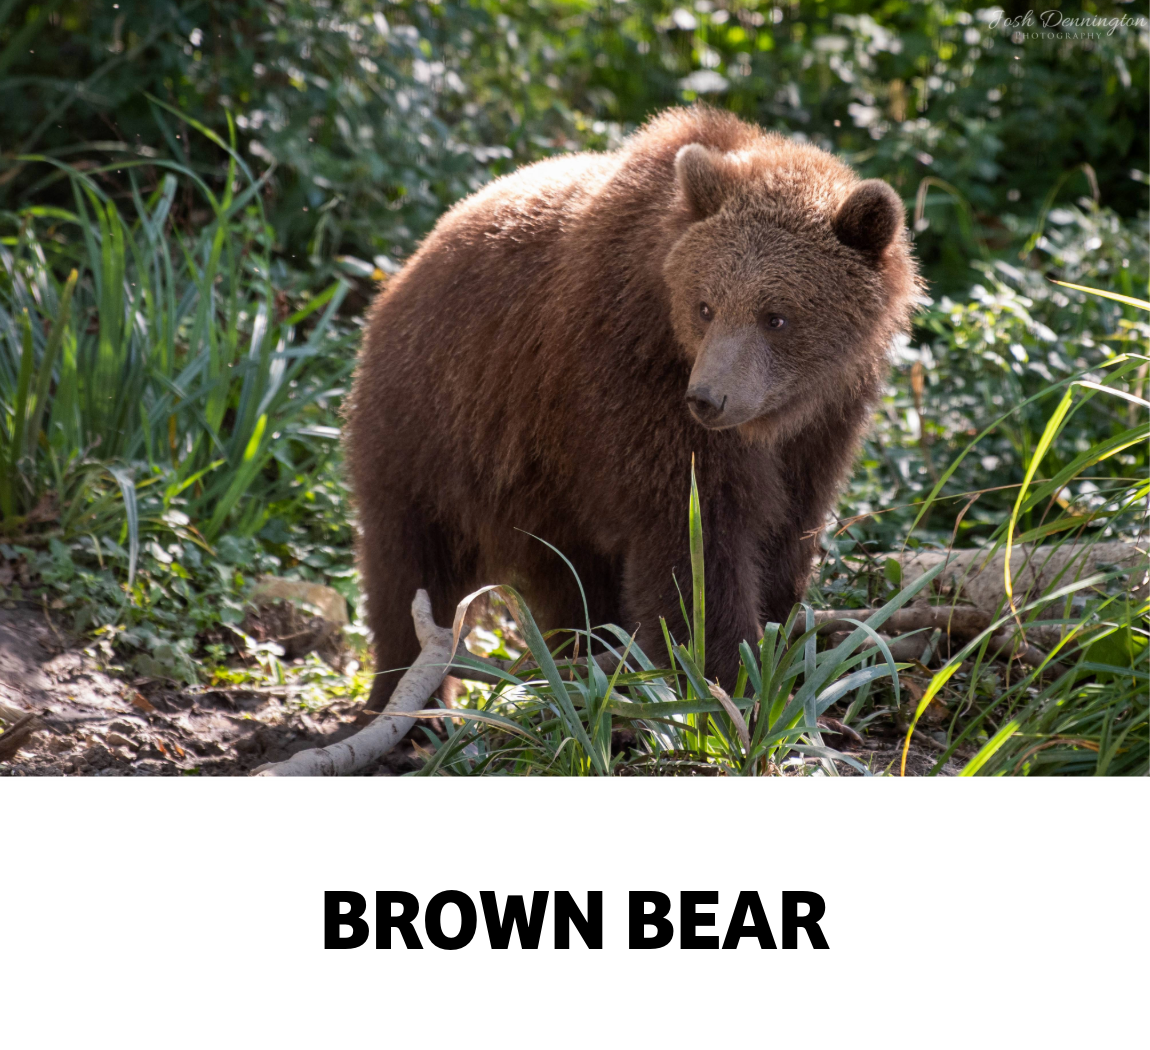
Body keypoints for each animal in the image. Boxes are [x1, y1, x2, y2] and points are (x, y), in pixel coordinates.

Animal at [346, 106, 920, 712]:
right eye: (706, 306)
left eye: (776, 316)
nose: (708, 397)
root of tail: (409, 265)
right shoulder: (632, 375)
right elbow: (694, 529)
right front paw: (723, 673)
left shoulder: (825, 419)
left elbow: (791, 524)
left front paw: (777, 639)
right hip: (436, 419)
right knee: (413, 559)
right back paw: (409, 697)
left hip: (541, 483)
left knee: (570, 574)